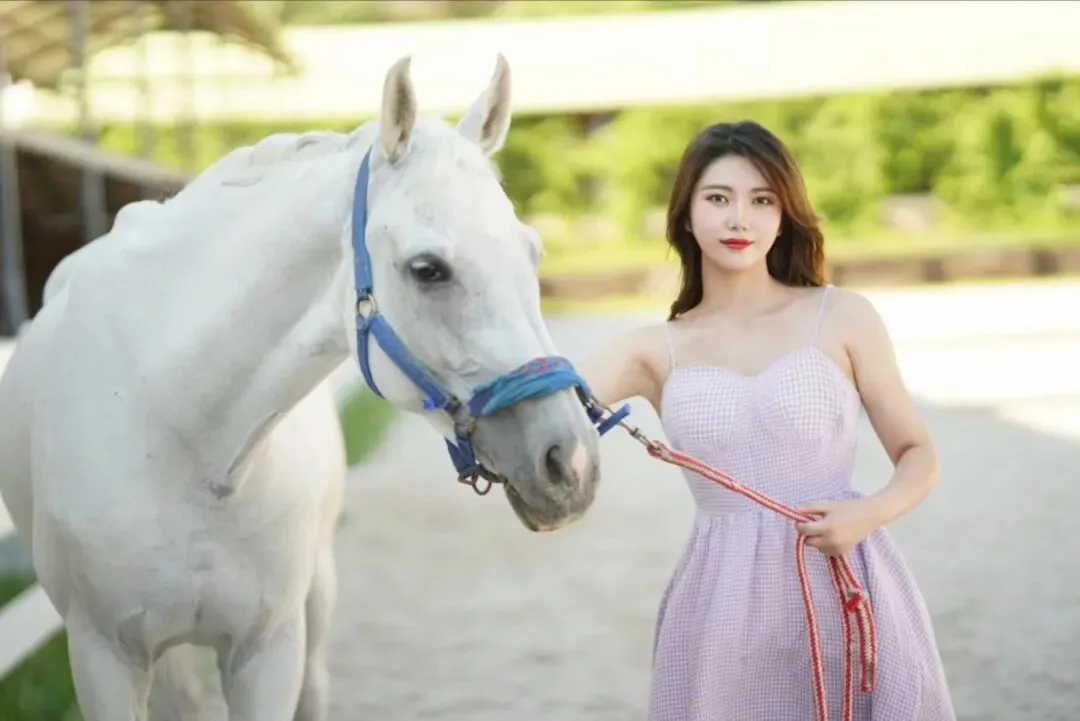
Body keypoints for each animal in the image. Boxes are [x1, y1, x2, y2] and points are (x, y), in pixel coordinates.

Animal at [0, 54, 605, 721]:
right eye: (427, 269)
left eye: (533, 252)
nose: (571, 464)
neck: (176, 436)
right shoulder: (103, 657)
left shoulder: (268, 651)